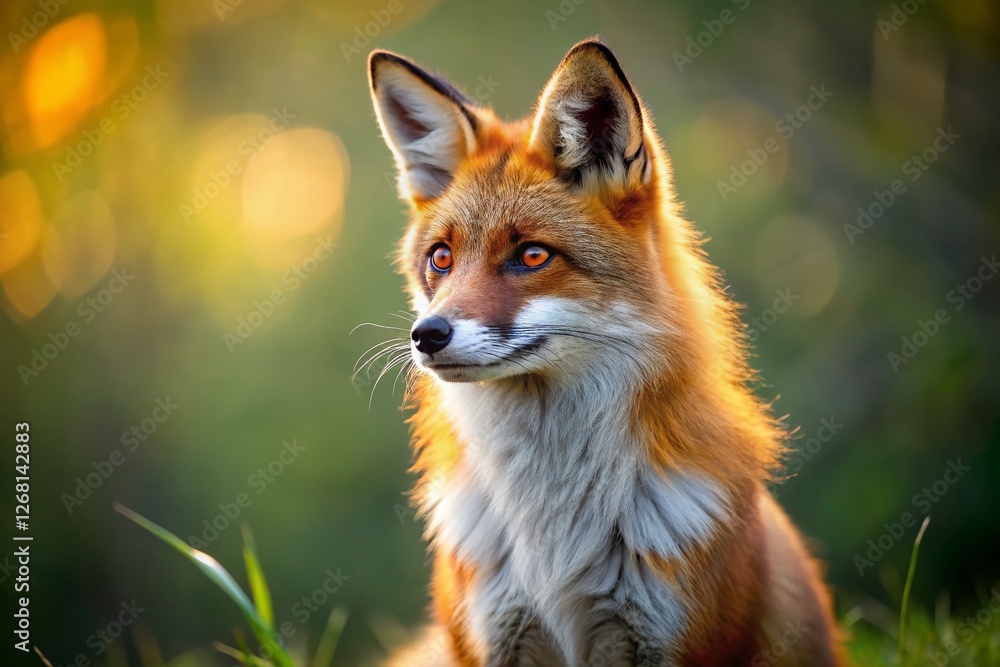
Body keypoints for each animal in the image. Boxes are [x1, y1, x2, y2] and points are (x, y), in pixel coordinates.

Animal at [366, 38, 845, 666]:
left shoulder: (668, 637)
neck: (554, 534)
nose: (427, 334)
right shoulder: (497, 638)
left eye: (533, 256)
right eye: (440, 258)